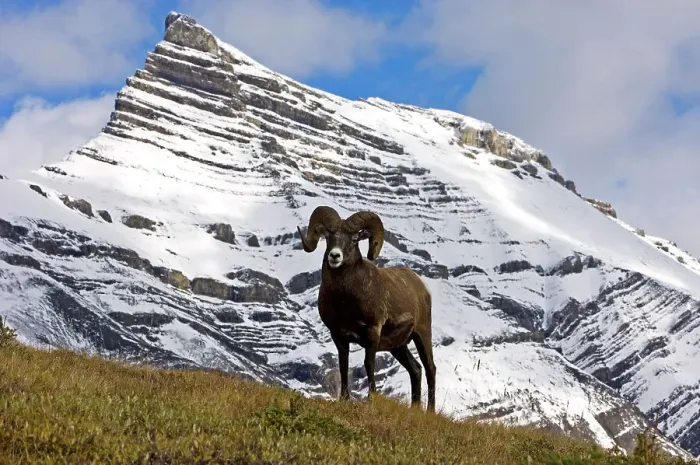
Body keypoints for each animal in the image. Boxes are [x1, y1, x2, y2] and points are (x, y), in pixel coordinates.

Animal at [297, 205, 436, 412]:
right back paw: (414, 408)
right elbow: (343, 365)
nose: (335, 256)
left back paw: (430, 411)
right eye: (328, 236)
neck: (345, 301)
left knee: (430, 368)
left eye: (354, 239)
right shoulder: (338, 336)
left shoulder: (372, 332)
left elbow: (369, 364)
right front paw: (344, 399)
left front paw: (372, 398)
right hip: (398, 346)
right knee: (416, 369)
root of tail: (421, 286)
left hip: (422, 334)